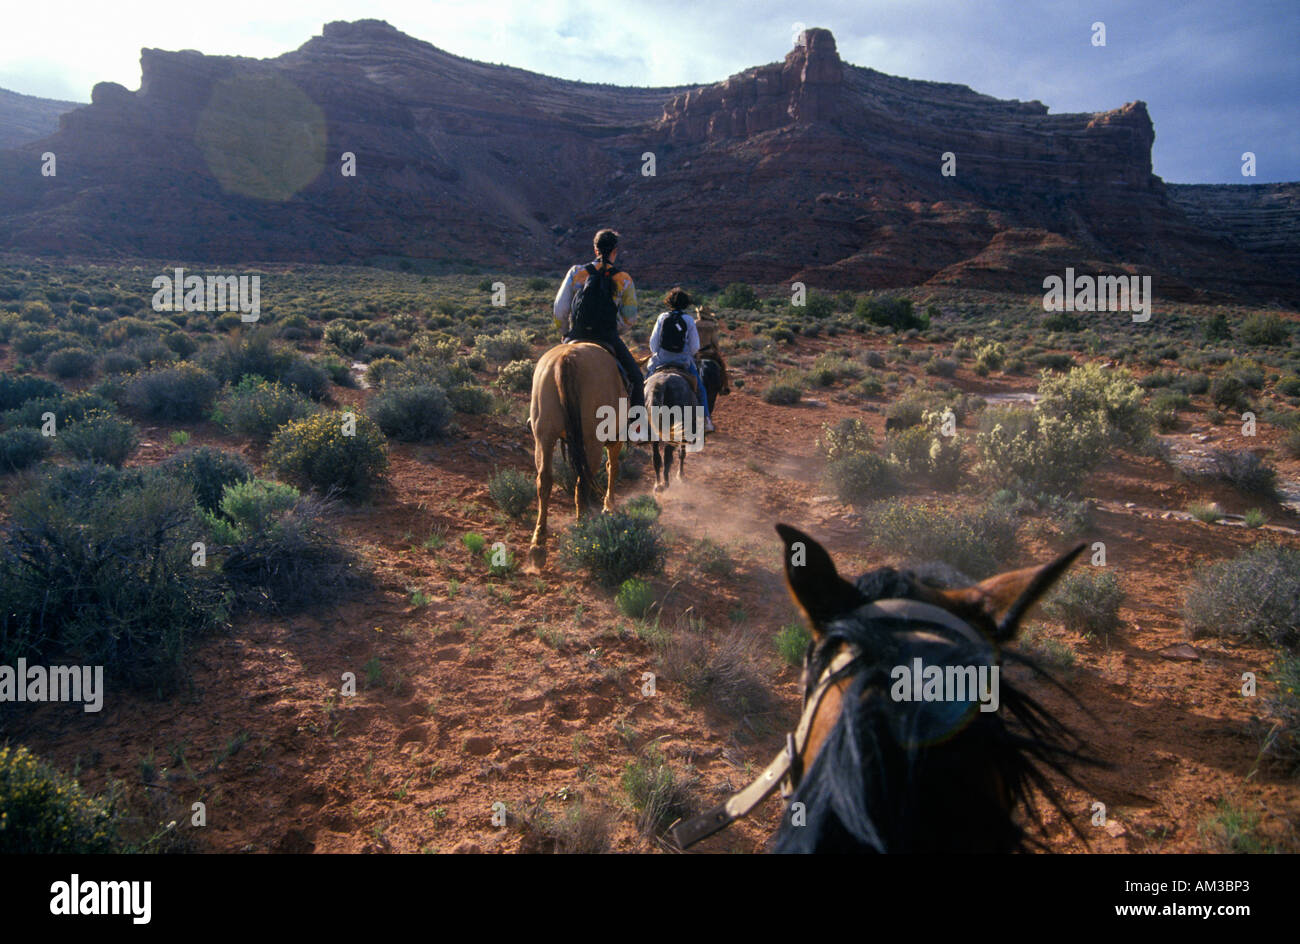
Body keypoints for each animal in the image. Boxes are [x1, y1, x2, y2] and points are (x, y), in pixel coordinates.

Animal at [527, 343, 629, 572]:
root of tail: (567, 358)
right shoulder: (615, 439)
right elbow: (612, 467)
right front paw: (608, 505)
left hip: (544, 435)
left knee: (544, 480)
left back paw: (538, 543)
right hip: (592, 440)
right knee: (582, 483)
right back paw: (581, 529)